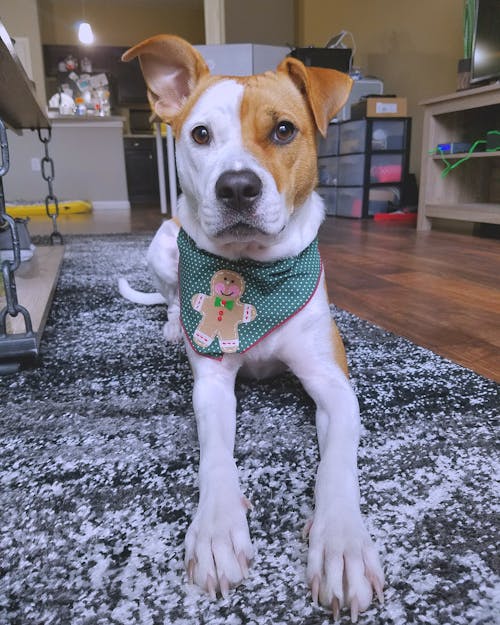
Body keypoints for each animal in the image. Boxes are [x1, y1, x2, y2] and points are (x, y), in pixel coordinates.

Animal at [122, 36, 386, 620]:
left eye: (284, 130)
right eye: (200, 134)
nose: (237, 187)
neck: (256, 274)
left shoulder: (333, 384)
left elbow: (338, 463)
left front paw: (342, 543)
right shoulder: (213, 384)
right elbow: (215, 455)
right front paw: (217, 529)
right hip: (163, 241)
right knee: (170, 294)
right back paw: (172, 325)